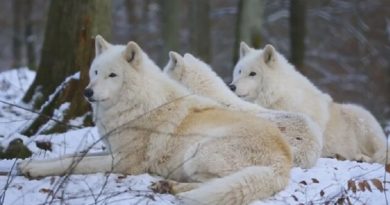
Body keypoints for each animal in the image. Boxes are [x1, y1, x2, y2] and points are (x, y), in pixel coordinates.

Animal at [230, 42, 388, 163]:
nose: (231, 86)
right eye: (239, 71)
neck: (277, 97)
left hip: (362, 122)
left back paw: (360, 157)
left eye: (253, 74)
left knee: (378, 155)